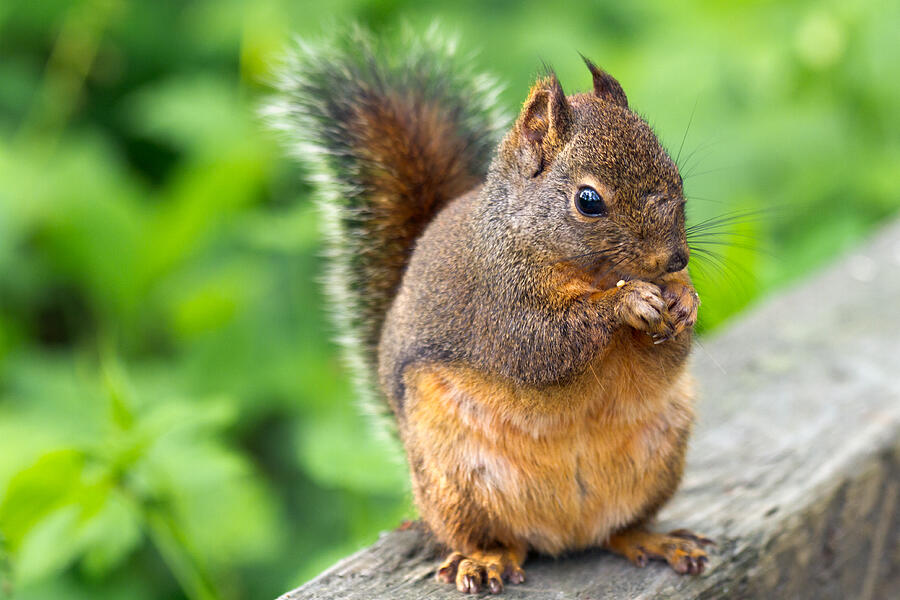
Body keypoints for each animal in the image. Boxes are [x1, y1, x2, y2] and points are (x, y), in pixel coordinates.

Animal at [269, 27, 714, 595]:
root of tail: (564, 535)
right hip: (453, 481)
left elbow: (663, 358)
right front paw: (629, 301)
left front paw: (683, 300)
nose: (676, 259)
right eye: (588, 200)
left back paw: (658, 542)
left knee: (620, 531)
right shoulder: (498, 308)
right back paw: (484, 560)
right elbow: (544, 346)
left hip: (659, 457)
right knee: (492, 538)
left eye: (674, 173)